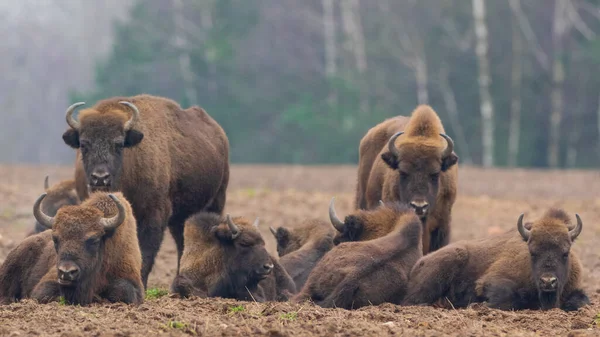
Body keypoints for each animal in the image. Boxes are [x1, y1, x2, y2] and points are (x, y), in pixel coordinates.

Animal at [61, 94, 230, 286]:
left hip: (217, 199)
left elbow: (145, 252)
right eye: (83, 144)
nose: (100, 178)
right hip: (180, 216)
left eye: (119, 144)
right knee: (182, 241)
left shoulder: (153, 215)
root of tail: (219, 133)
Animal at [404, 209, 592, 312]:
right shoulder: (492, 280)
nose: (548, 281)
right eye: (532, 253)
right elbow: (509, 297)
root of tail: (418, 263)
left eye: (565, 253)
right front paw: (477, 306)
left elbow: (581, 301)